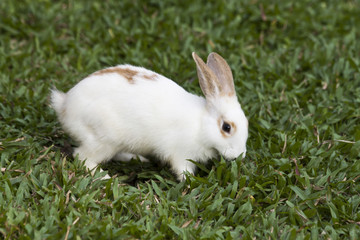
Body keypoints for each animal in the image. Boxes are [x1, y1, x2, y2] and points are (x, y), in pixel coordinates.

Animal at [50, 52, 248, 180]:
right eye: (226, 127)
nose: (240, 155)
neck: (201, 125)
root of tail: (64, 105)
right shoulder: (180, 153)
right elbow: (182, 170)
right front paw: (191, 182)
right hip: (102, 140)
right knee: (82, 158)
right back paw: (106, 177)